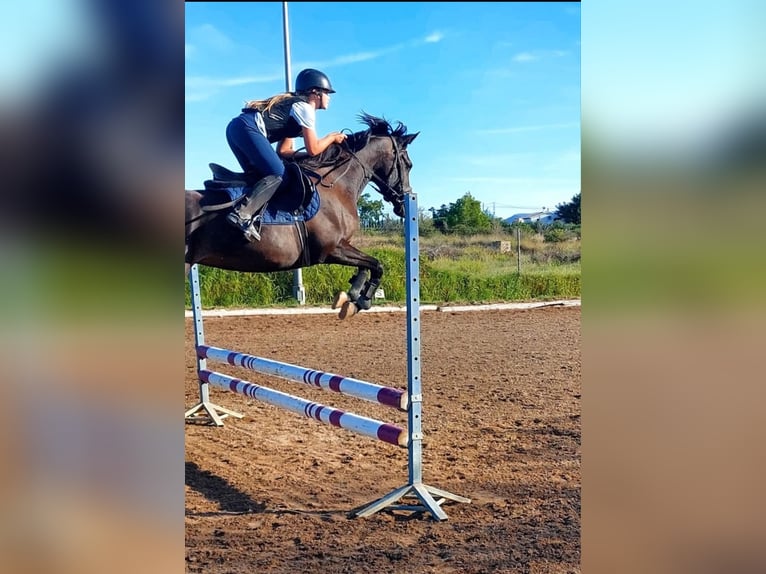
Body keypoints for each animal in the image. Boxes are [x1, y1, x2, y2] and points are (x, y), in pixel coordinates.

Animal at [185, 113, 418, 319]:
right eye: (408, 164)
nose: (404, 203)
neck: (336, 186)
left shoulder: (342, 246)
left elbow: (367, 266)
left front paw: (351, 296)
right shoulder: (331, 249)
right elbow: (377, 265)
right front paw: (362, 300)